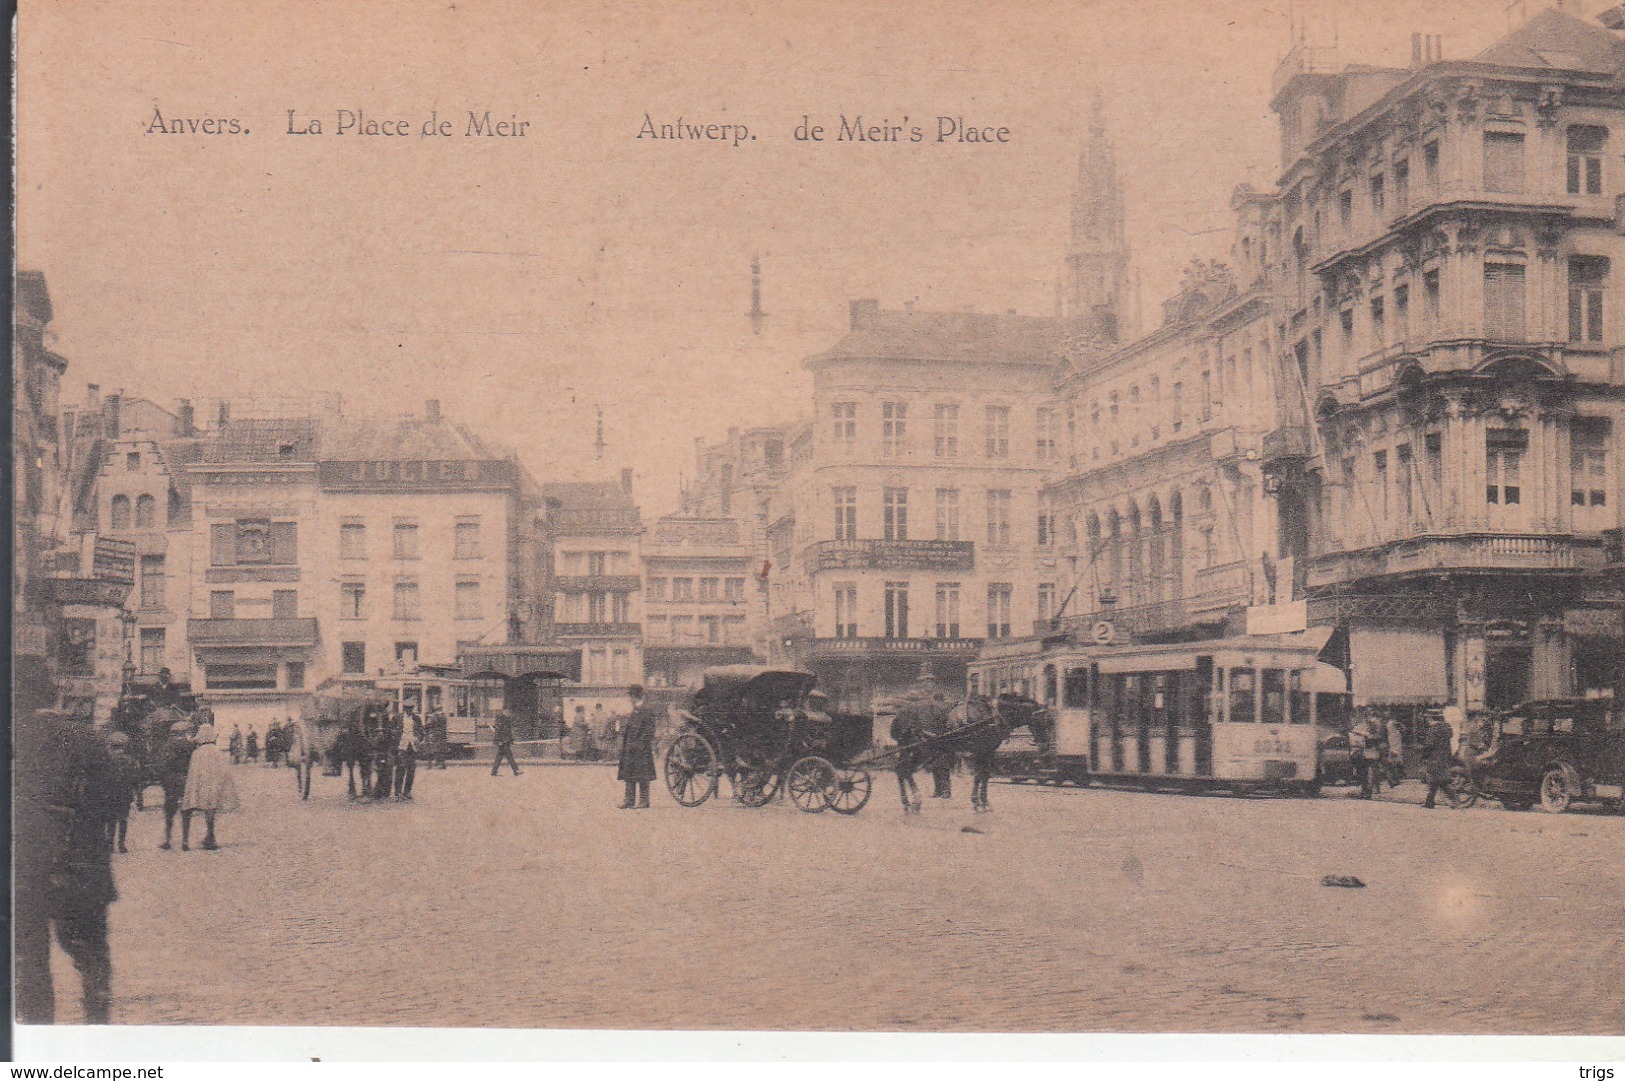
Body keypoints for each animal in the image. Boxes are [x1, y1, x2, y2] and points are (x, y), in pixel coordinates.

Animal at [890, 692, 1053, 809]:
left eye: (1051, 721)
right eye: (1042, 720)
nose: (1046, 745)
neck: (993, 715)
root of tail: (901, 715)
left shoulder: (985, 752)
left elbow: (982, 775)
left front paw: (979, 801)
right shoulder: (983, 750)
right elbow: (982, 775)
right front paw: (981, 802)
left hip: (910, 749)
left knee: (901, 769)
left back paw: (907, 802)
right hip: (923, 749)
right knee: (906, 769)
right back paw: (916, 800)